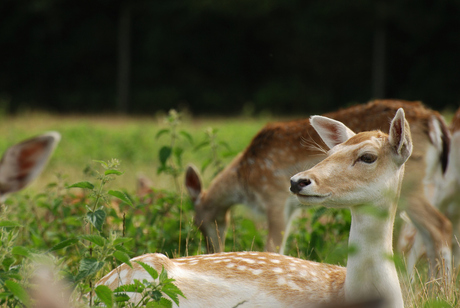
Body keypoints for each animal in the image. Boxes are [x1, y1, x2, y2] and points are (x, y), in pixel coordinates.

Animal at [185, 99, 452, 276]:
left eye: (199, 223)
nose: (212, 249)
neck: (245, 179)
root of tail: (436, 122)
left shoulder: (274, 196)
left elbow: (273, 246)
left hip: (412, 186)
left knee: (439, 227)